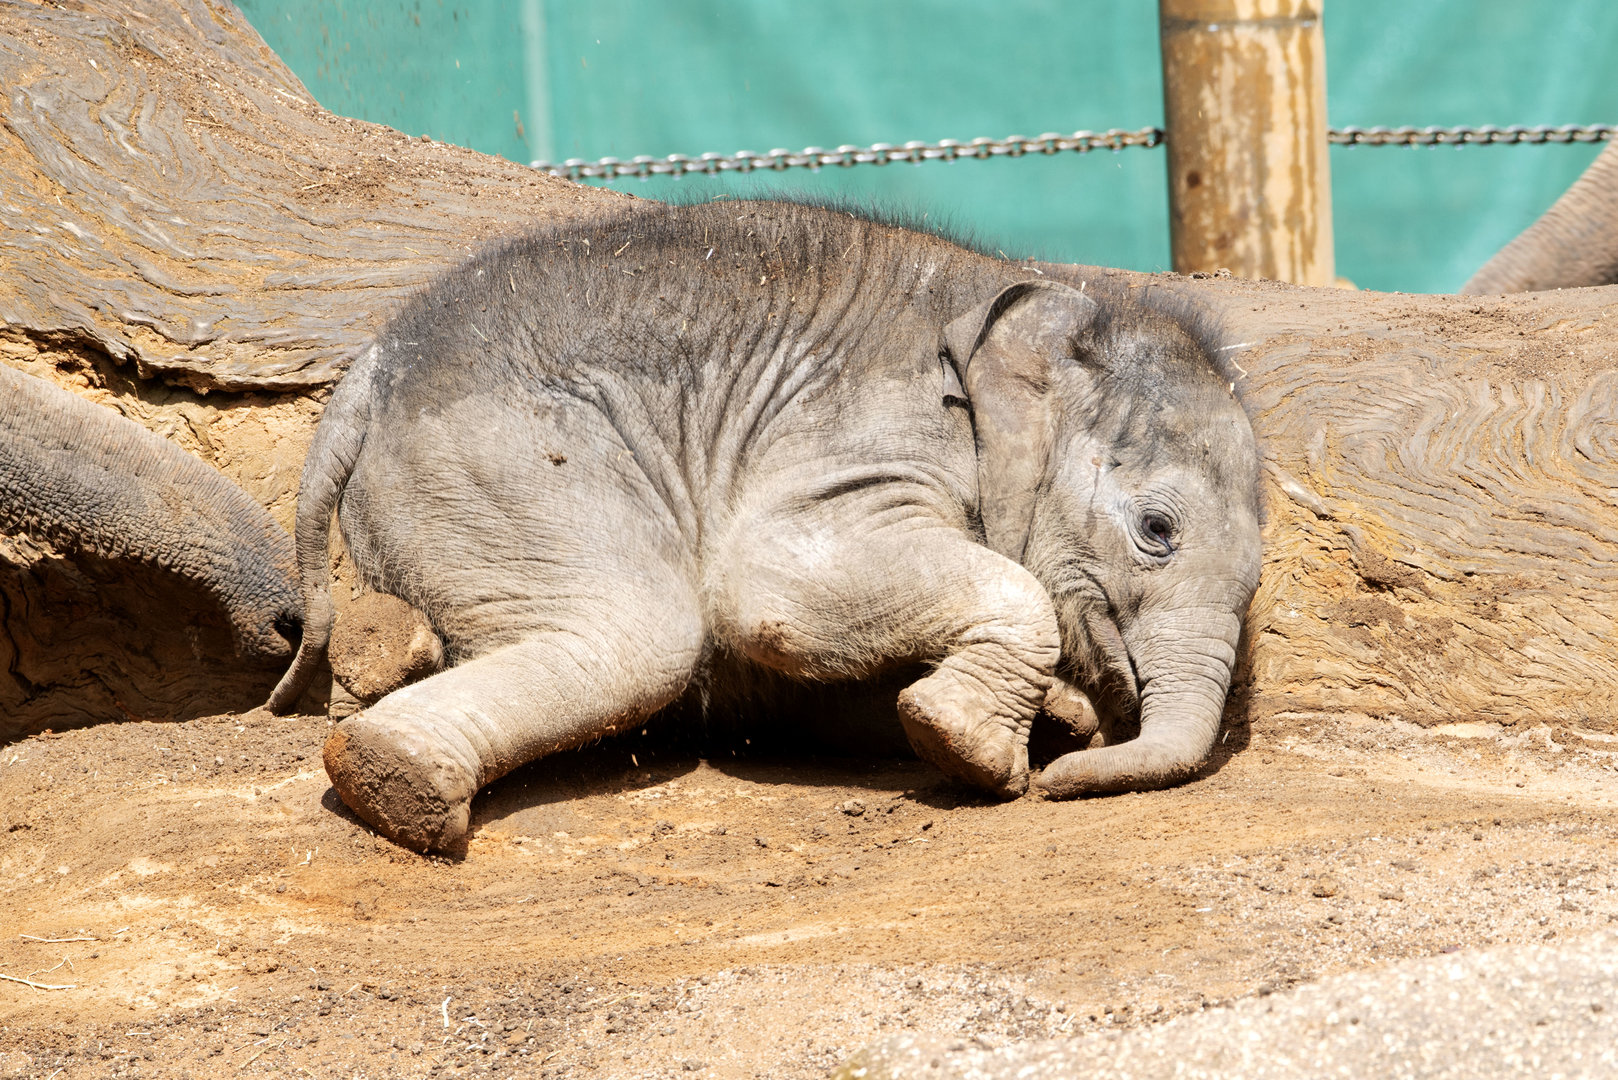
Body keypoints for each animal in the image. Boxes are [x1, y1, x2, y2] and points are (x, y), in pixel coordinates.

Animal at [267, 199, 1263, 854]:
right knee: (643, 632)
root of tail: (363, 376)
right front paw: (975, 751)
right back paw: (397, 785)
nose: (1059, 788)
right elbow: (765, 589)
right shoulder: (865, 430)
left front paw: (1055, 719)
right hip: (502, 464)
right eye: (1158, 529)